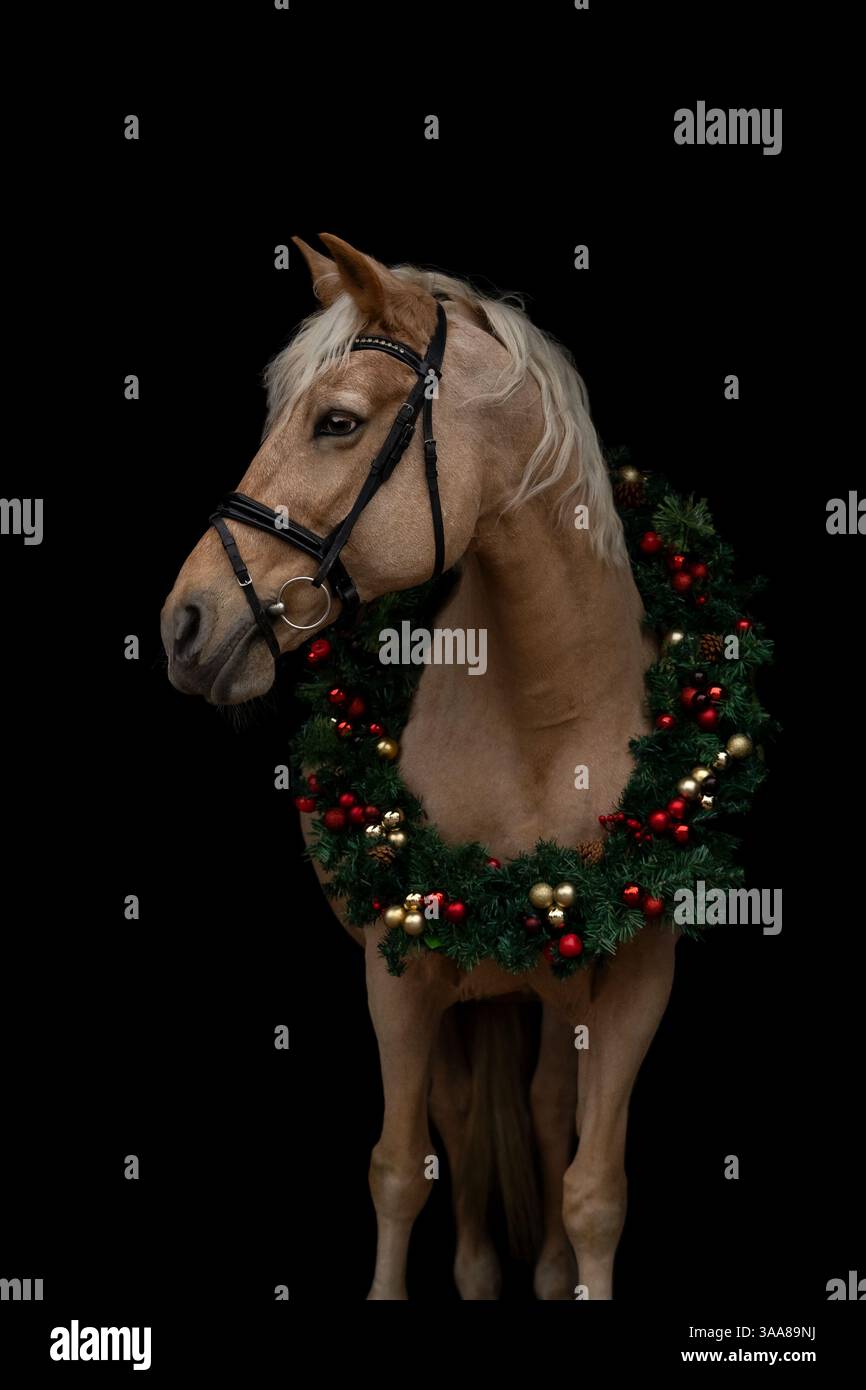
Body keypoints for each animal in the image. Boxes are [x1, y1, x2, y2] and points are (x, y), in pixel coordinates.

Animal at [161, 234, 677, 1301]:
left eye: (338, 423)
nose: (184, 624)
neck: (548, 713)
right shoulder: (396, 975)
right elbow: (400, 1170)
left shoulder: (639, 977)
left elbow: (594, 1192)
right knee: (464, 1132)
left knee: (546, 1116)